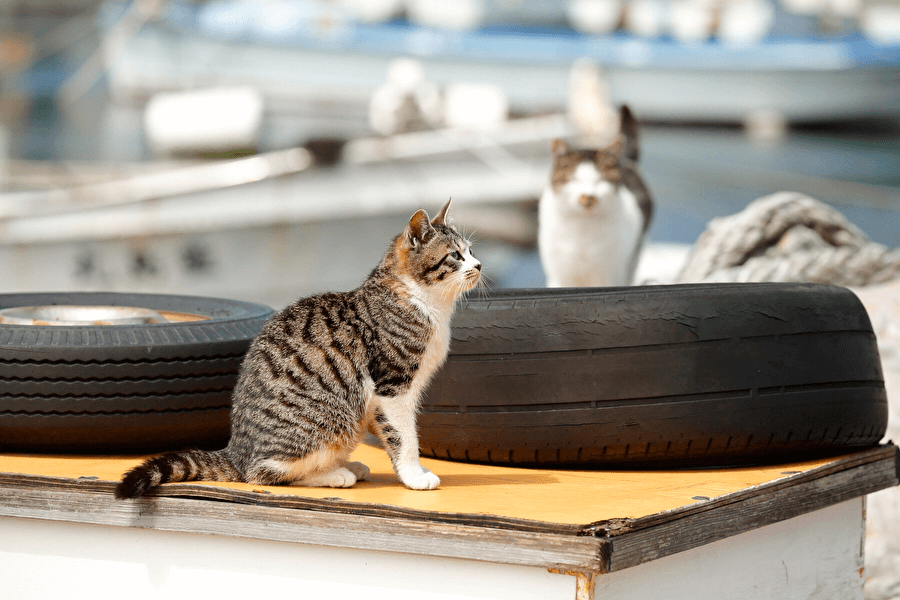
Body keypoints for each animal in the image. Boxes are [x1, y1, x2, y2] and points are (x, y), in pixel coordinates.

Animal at [116, 199, 482, 500]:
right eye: (455, 255)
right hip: (334, 418)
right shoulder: (393, 386)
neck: (426, 301)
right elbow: (404, 436)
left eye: (472, 251)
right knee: (263, 473)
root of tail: (237, 451)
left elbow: (396, 432)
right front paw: (414, 475)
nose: (479, 265)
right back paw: (333, 474)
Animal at [536, 104, 652, 288]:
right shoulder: (558, 276)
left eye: (600, 180)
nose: (588, 196)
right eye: (574, 179)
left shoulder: (609, 276)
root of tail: (626, 161)